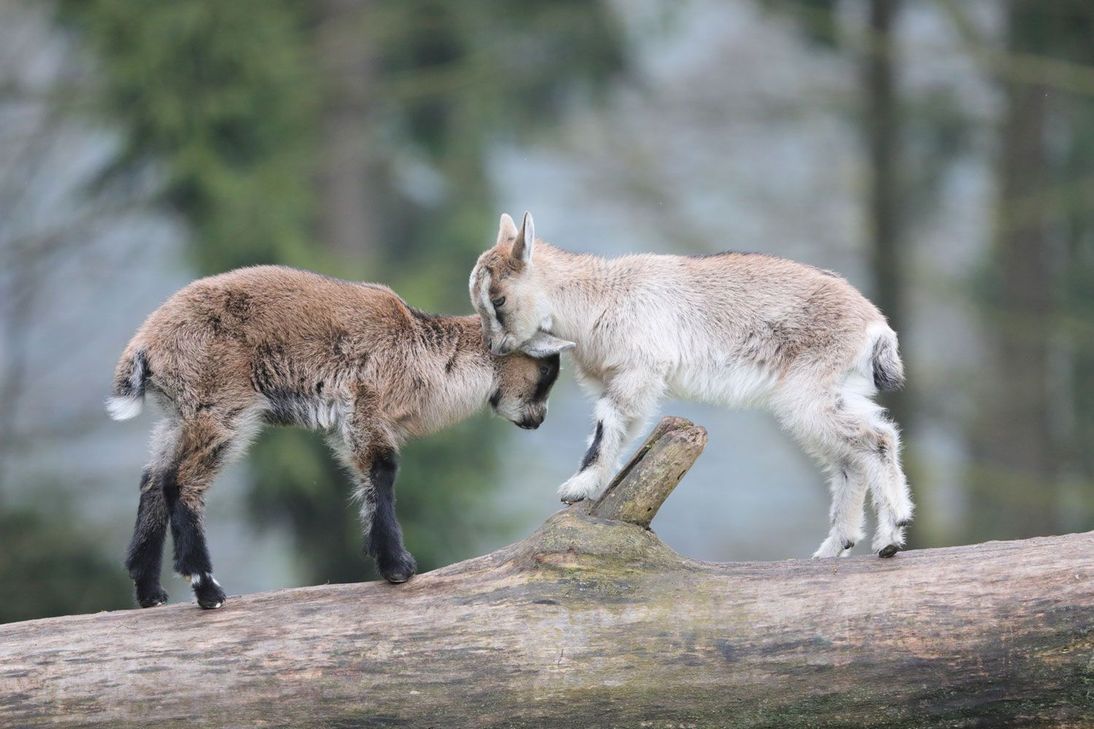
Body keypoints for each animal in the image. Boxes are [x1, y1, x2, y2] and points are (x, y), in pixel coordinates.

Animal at [109, 265, 569, 609]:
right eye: (547, 369)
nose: (538, 419)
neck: (425, 356)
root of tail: (145, 346)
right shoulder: (363, 409)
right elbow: (381, 471)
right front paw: (398, 567)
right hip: (221, 408)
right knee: (181, 483)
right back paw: (208, 589)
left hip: (180, 415)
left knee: (153, 479)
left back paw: (149, 591)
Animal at [470, 213, 913, 559]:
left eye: (499, 299)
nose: (497, 347)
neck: (598, 297)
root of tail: (875, 326)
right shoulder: (625, 380)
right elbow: (620, 428)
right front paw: (593, 484)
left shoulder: (639, 369)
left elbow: (606, 424)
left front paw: (578, 487)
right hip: (833, 390)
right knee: (850, 461)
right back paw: (833, 548)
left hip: (810, 390)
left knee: (878, 439)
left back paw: (890, 536)